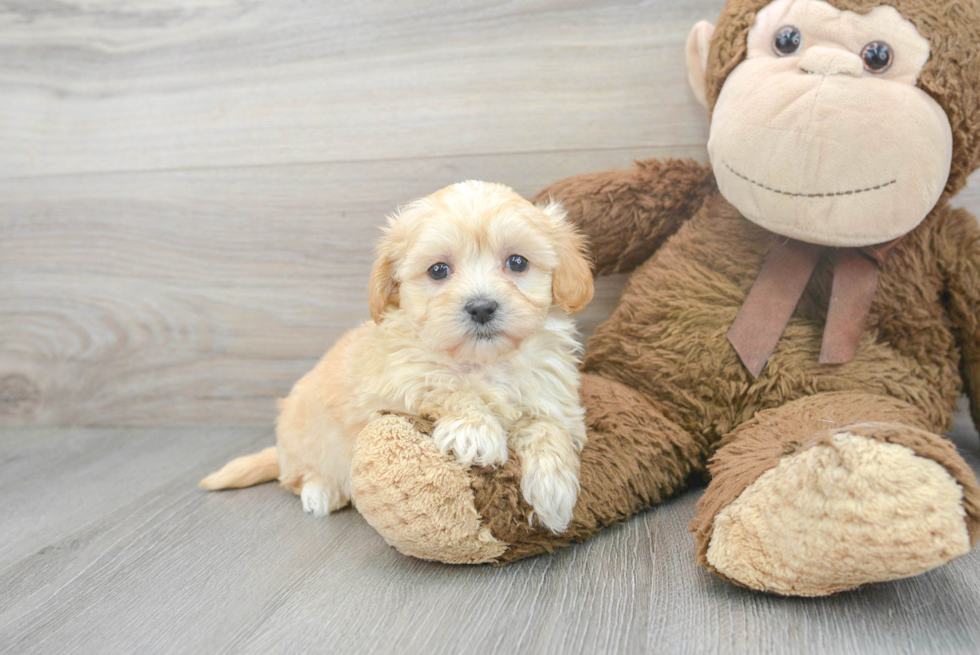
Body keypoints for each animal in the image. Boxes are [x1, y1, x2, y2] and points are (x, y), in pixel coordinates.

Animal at [203, 181, 592, 532]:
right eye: (438, 270)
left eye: (517, 262)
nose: (482, 307)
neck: (483, 361)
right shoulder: (398, 379)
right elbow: (444, 385)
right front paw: (473, 430)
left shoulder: (552, 397)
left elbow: (548, 427)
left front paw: (554, 491)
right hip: (308, 437)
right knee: (296, 477)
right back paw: (321, 491)